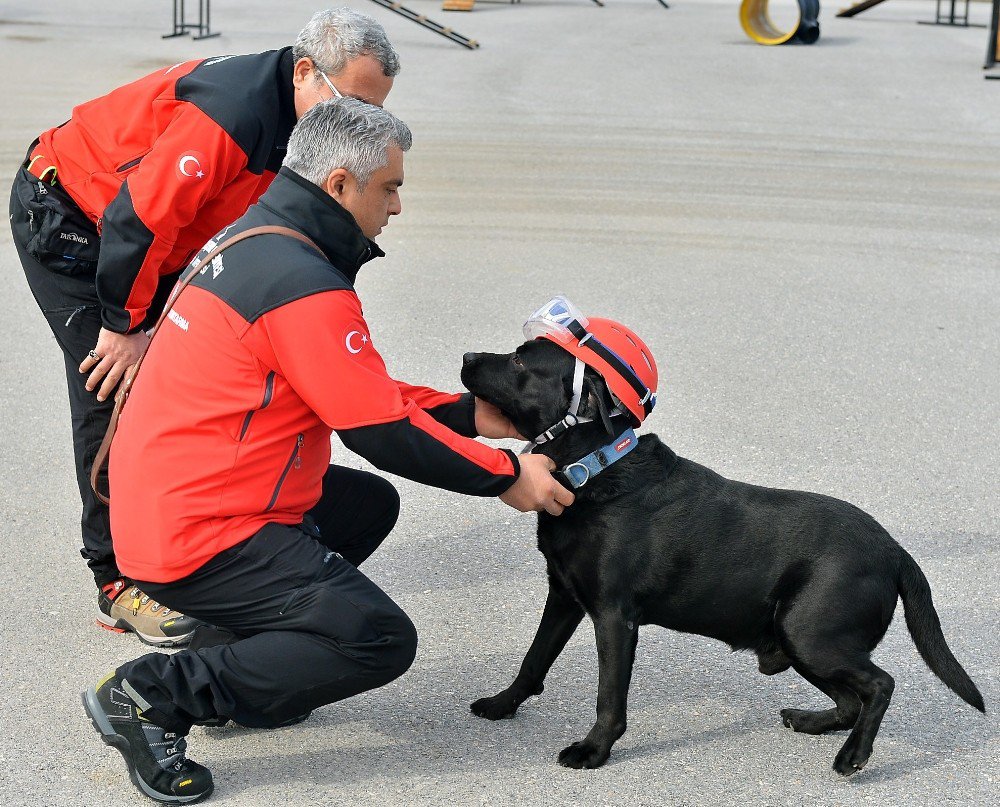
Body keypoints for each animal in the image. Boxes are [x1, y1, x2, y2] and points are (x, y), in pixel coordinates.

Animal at [460, 340, 984, 776]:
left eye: (520, 361)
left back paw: (853, 756)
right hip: (800, 641)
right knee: (852, 700)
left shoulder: (613, 617)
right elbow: (533, 660)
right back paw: (810, 721)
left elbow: (608, 697)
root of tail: (894, 549)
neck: (595, 467)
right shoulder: (564, 597)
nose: (466, 356)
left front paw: (593, 751)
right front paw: (502, 705)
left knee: (880, 685)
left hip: (810, 634)